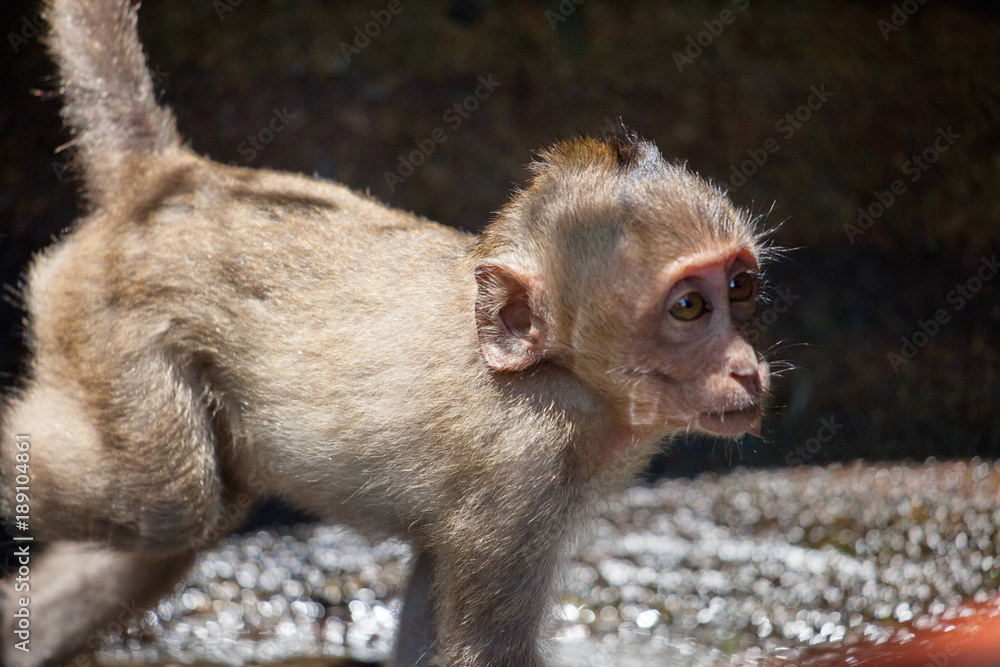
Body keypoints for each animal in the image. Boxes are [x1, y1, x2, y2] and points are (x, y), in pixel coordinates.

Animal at [0, 1, 770, 665]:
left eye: (739, 288)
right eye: (688, 308)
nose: (749, 368)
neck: (560, 375)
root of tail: (173, 181)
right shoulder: (523, 466)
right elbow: (483, 651)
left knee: (170, 528)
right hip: (109, 319)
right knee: (168, 497)